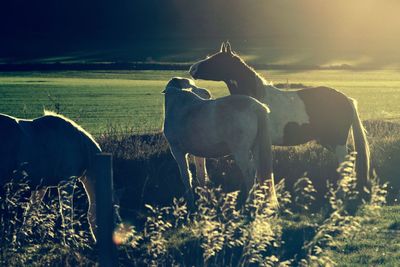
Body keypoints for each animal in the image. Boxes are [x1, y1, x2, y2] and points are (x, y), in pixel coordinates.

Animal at [0, 111, 101, 243]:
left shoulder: (41, 187)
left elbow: (31, 211)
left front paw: (21, 237)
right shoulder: (67, 182)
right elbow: (66, 211)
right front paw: (70, 240)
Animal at [191, 42, 372, 199]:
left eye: (216, 59)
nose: (192, 69)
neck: (257, 100)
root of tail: (346, 99)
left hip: (338, 142)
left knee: (345, 165)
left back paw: (341, 195)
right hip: (328, 141)